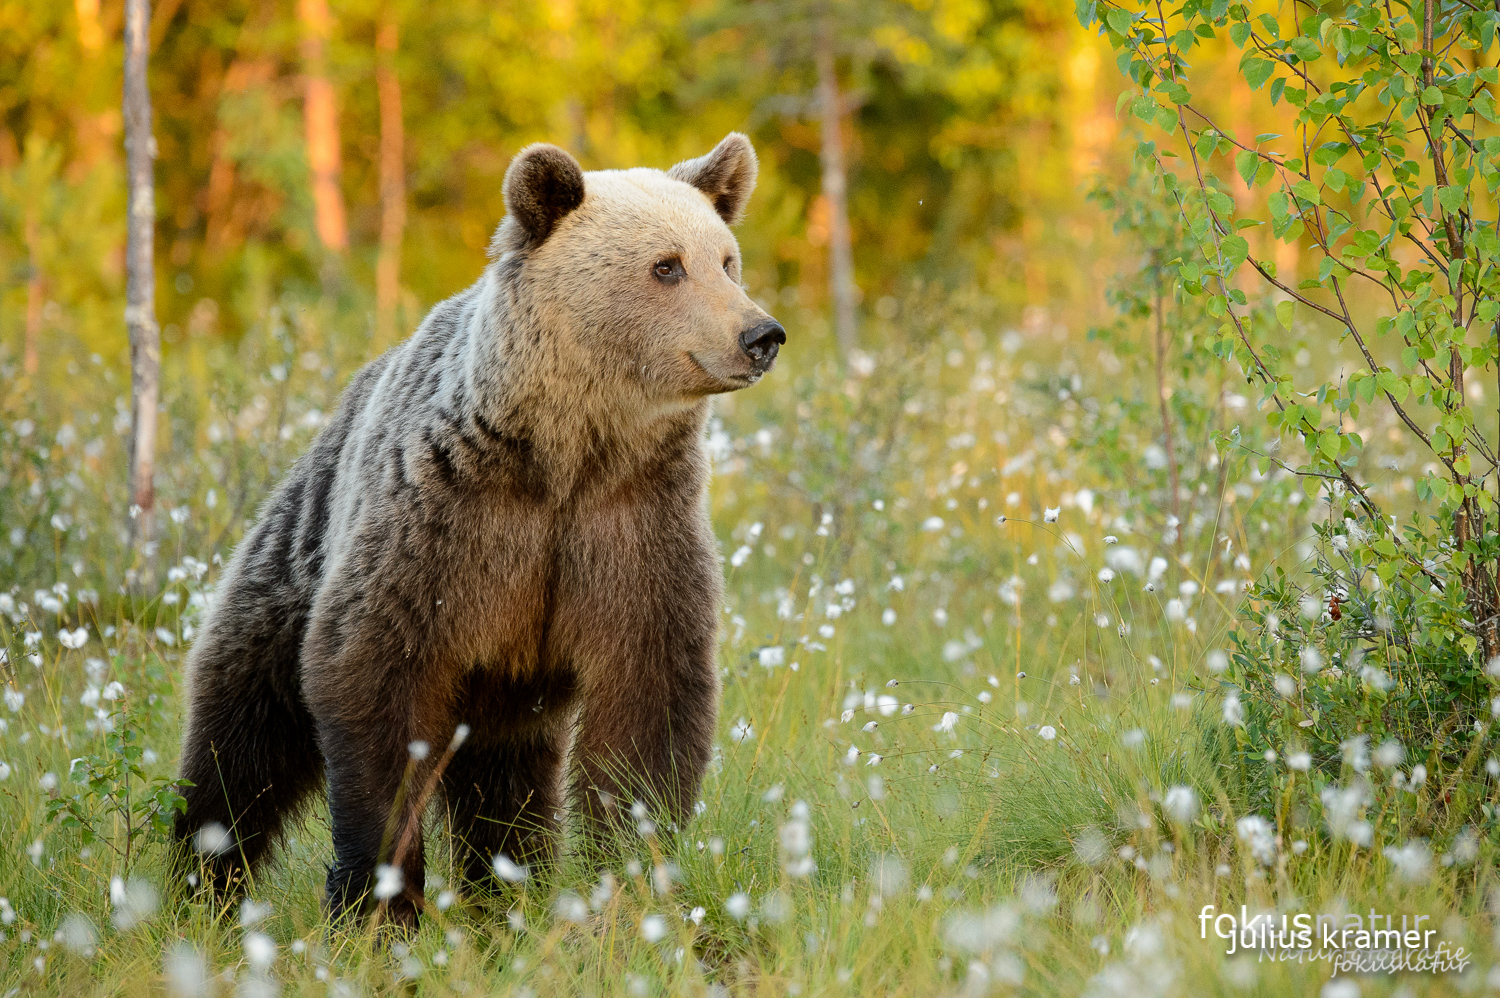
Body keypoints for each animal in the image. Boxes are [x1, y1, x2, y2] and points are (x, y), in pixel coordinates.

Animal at [174, 132, 786, 924]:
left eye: (727, 258)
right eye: (666, 265)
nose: (761, 334)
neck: (565, 453)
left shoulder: (631, 525)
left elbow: (649, 699)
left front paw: (627, 873)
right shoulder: (446, 523)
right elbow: (374, 681)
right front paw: (379, 903)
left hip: (508, 677)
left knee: (506, 778)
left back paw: (508, 892)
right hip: (289, 568)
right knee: (243, 742)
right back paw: (202, 880)